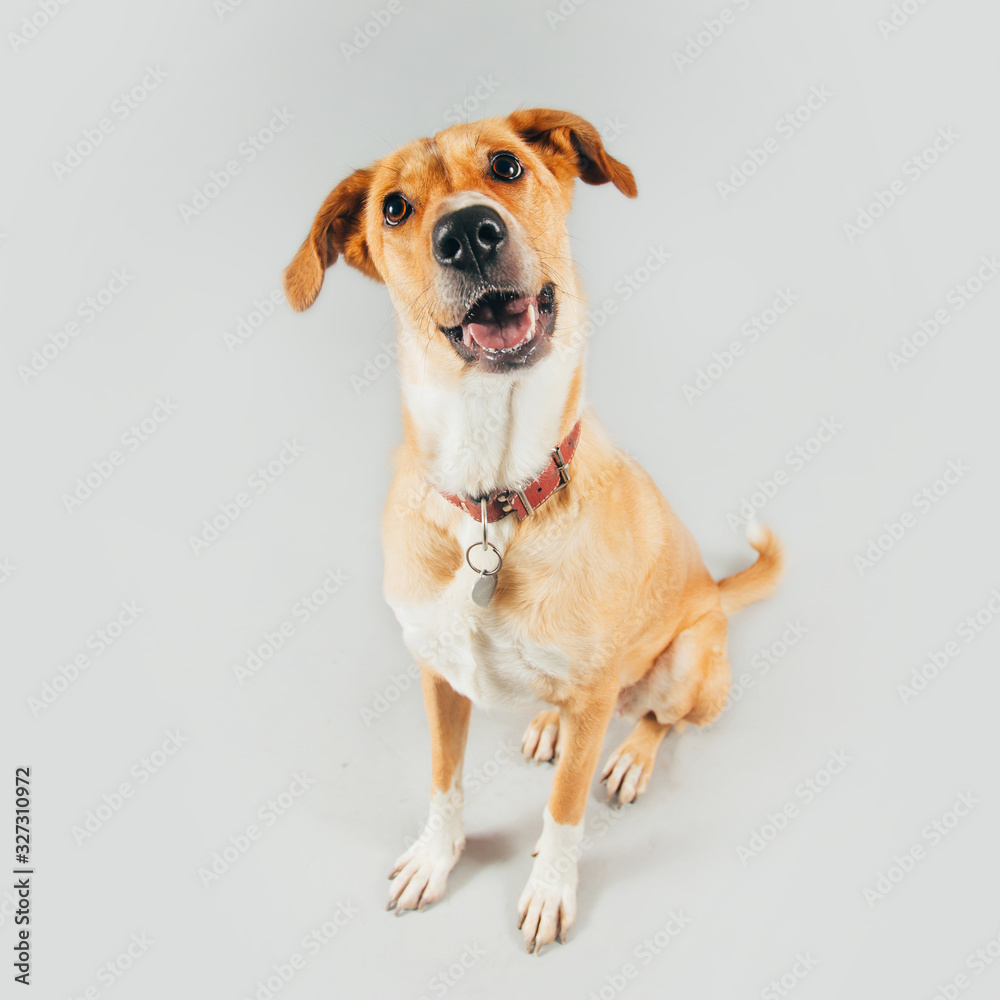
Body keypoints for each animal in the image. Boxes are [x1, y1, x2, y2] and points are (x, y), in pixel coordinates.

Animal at [282, 107, 780, 952]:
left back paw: (631, 757)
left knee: (657, 718)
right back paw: (550, 723)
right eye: (394, 208)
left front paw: (550, 889)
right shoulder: (436, 675)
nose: (468, 234)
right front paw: (435, 856)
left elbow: (564, 810)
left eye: (507, 166)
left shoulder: (592, 703)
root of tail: (716, 592)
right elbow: (444, 779)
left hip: (690, 666)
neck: (493, 497)